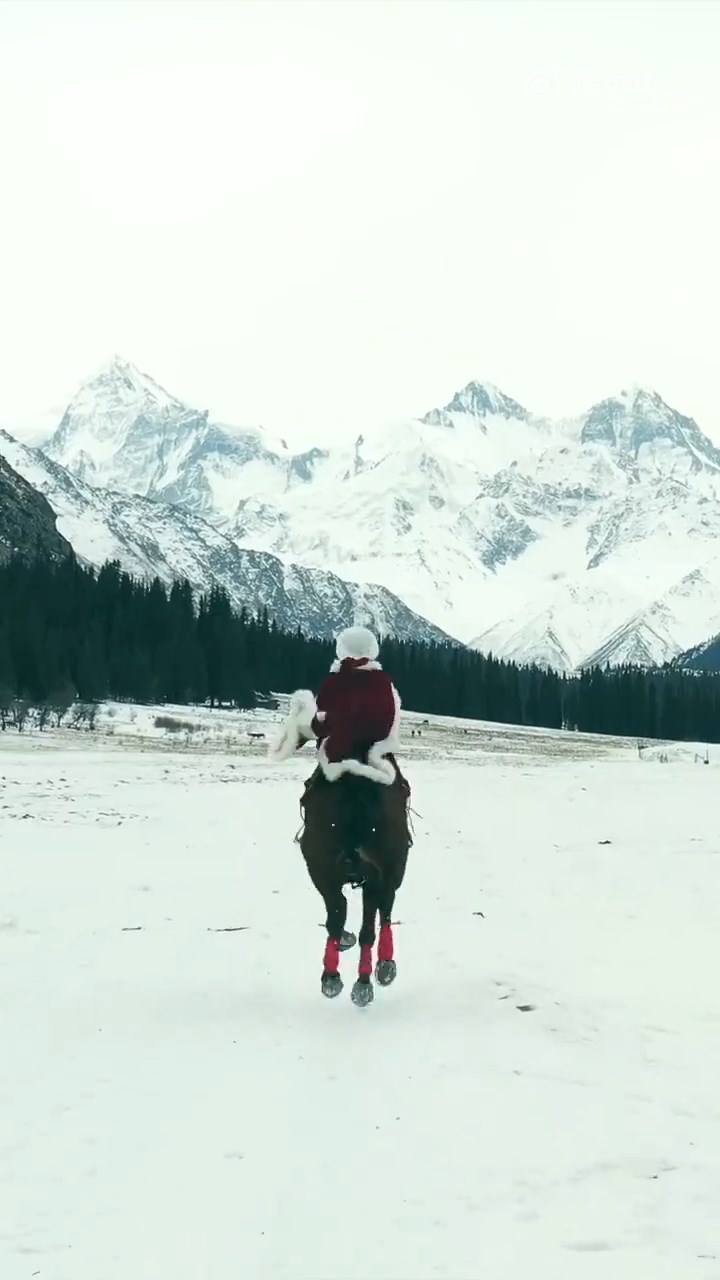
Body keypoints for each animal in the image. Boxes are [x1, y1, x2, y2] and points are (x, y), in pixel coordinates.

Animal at [296, 761, 412, 1007]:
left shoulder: (373, 877)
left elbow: (361, 925)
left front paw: (360, 984)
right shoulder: (325, 874)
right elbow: (337, 916)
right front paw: (332, 976)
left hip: (390, 871)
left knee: (383, 911)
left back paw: (382, 968)